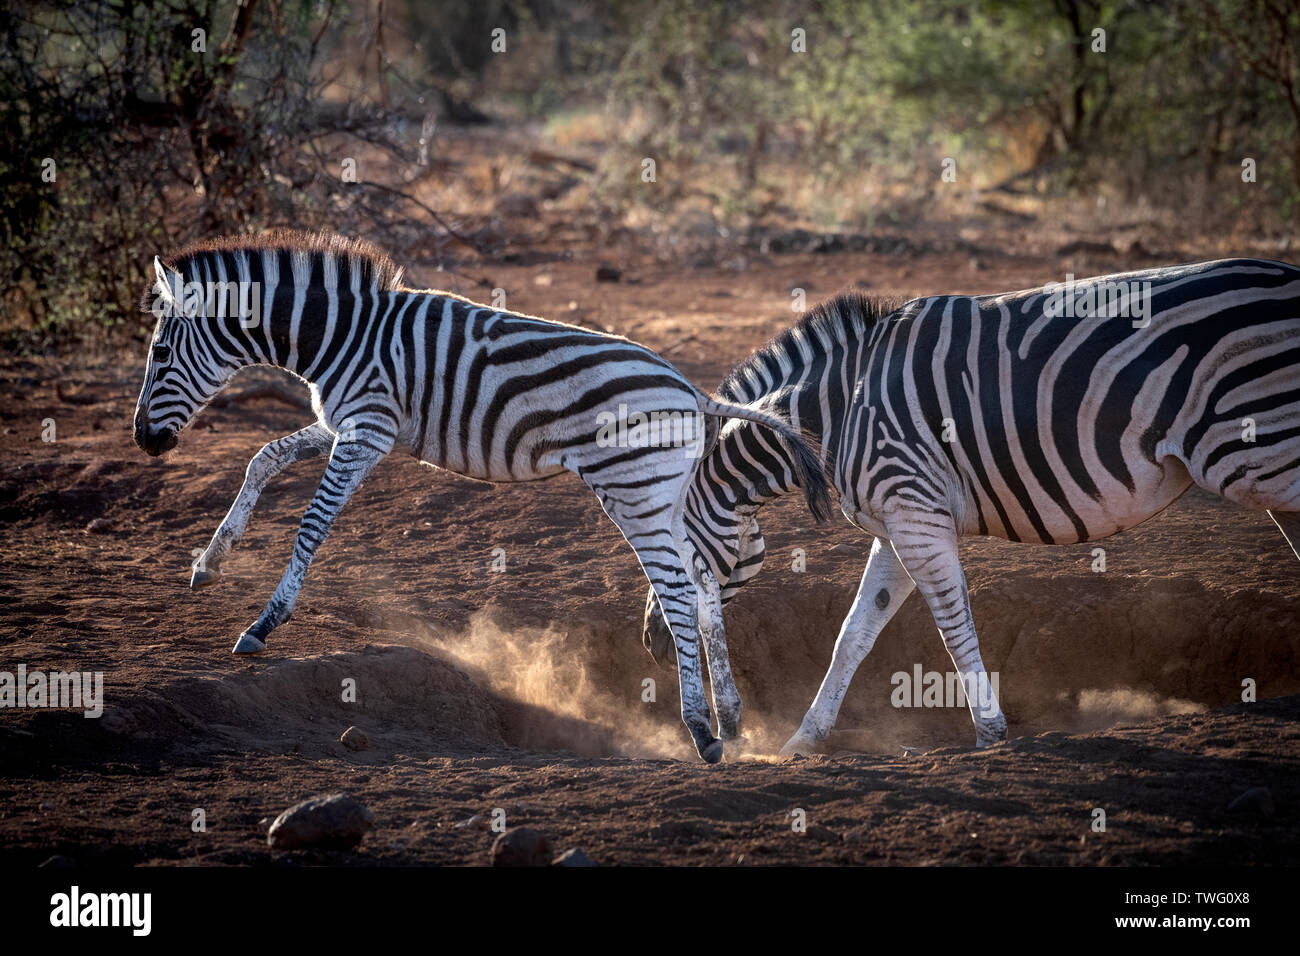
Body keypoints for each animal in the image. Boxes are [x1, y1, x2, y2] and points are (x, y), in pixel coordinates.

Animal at [131, 231, 831, 763]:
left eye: (161, 352)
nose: (143, 440)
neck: (341, 336)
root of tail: (693, 392)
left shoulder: (366, 429)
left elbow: (311, 523)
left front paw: (264, 623)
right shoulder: (345, 422)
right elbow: (263, 459)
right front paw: (209, 561)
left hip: (632, 489)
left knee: (680, 588)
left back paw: (701, 730)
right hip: (660, 492)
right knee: (704, 580)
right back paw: (730, 717)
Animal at [642, 258, 1300, 755]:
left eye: (666, 544)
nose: (651, 641)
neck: (838, 410)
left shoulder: (915, 510)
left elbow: (953, 623)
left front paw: (990, 731)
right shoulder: (897, 521)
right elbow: (854, 632)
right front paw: (804, 740)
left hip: (1264, 451)